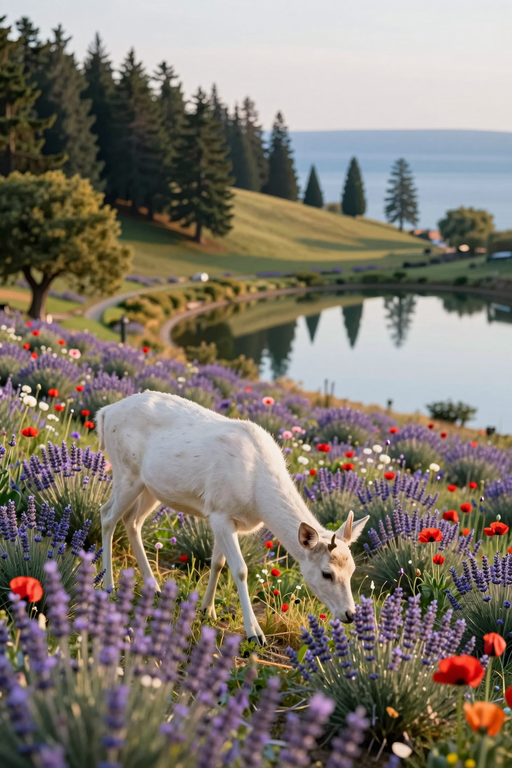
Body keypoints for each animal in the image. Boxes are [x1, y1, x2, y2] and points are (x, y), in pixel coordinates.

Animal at [96, 391, 369, 645]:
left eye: (353, 570)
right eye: (326, 573)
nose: (350, 614)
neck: (257, 497)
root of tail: (105, 412)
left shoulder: (225, 517)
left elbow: (218, 562)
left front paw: (206, 611)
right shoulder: (220, 512)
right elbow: (240, 569)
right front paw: (255, 634)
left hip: (150, 487)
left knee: (132, 521)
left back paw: (155, 587)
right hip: (126, 472)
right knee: (107, 515)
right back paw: (109, 585)